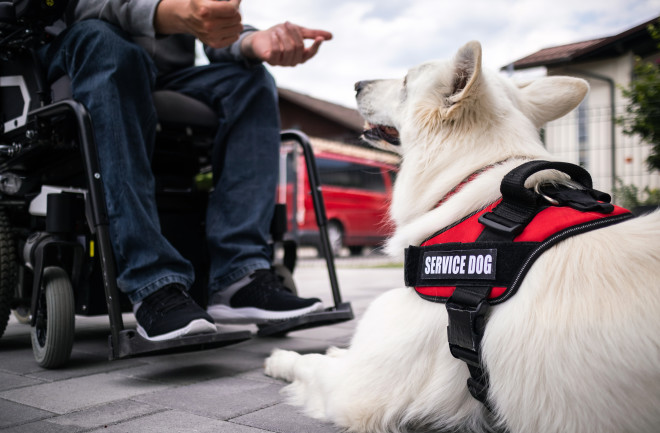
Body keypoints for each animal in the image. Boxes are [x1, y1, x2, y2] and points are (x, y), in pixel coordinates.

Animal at [264, 41, 660, 432]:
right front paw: (333, 349)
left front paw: (280, 358)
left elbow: (309, 363)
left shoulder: (356, 390)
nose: (357, 84)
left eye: (406, 82)